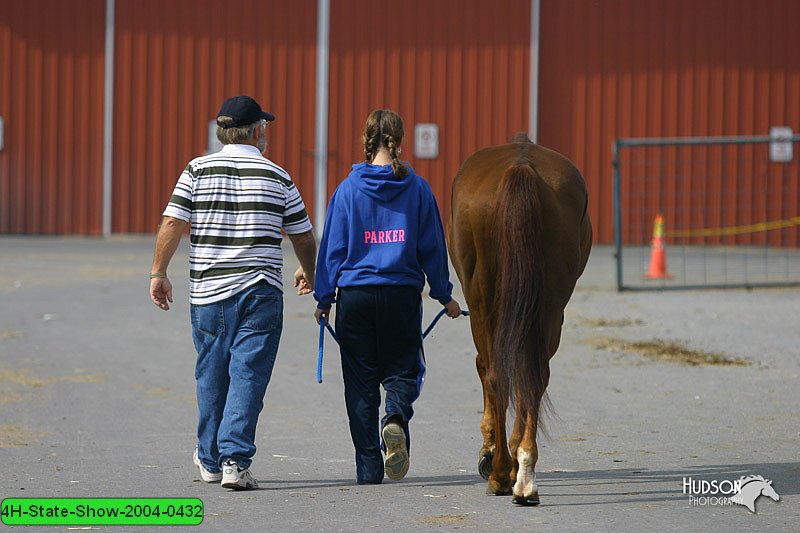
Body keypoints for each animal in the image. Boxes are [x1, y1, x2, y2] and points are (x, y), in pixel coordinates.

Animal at [446, 133, 592, 502]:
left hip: (482, 302)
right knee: (533, 376)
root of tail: (521, 166)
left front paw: (490, 452)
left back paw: (500, 472)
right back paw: (524, 475)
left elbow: (488, 370)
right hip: (550, 307)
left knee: (497, 373)